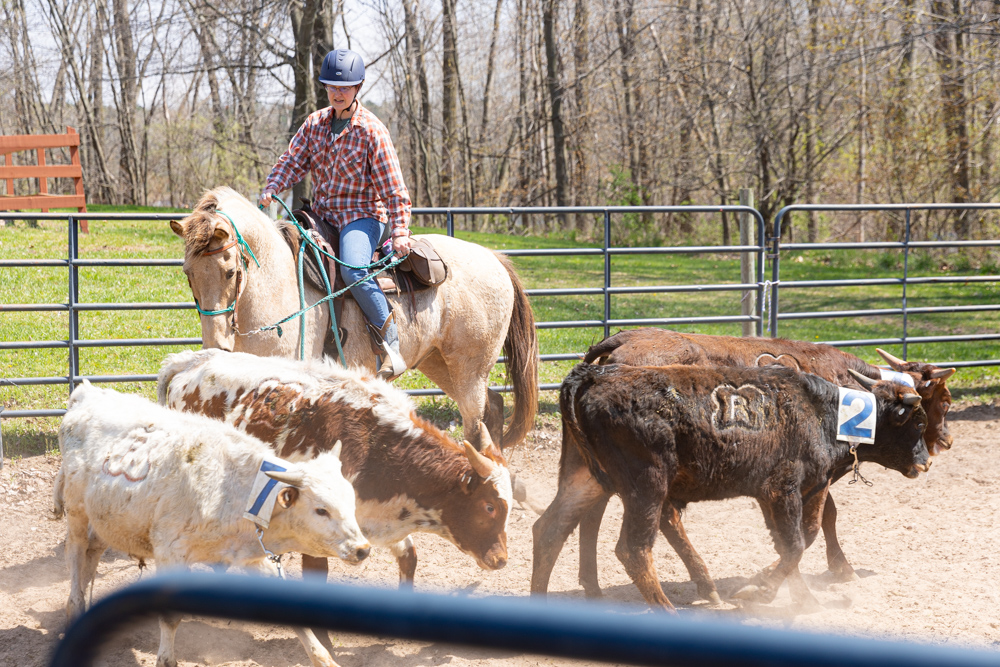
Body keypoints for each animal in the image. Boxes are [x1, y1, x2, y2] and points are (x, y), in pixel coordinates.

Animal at [54, 381, 368, 667]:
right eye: (321, 510)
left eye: (352, 504)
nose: (362, 549)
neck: (234, 491)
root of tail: (87, 392)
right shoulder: (170, 553)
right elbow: (170, 618)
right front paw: (166, 659)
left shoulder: (250, 555)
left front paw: (324, 659)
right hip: (77, 511)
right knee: (76, 552)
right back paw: (74, 604)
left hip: (105, 518)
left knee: (92, 553)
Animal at [157, 348, 512, 585]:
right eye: (489, 506)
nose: (501, 560)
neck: (378, 444)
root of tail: (189, 360)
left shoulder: (376, 520)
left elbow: (409, 559)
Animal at [531, 362, 929, 612]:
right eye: (919, 422)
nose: (925, 461)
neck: (821, 413)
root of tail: (593, 374)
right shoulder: (783, 489)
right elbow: (796, 544)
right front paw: (760, 591)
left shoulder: (793, 493)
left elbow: (796, 541)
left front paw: (799, 598)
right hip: (647, 485)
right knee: (633, 549)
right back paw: (669, 611)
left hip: (586, 479)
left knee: (550, 529)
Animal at [577, 327, 955, 592]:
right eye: (944, 402)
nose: (944, 443)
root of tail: (624, 338)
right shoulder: (811, 474)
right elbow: (817, 523)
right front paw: (836, 568)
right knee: (663, 519)